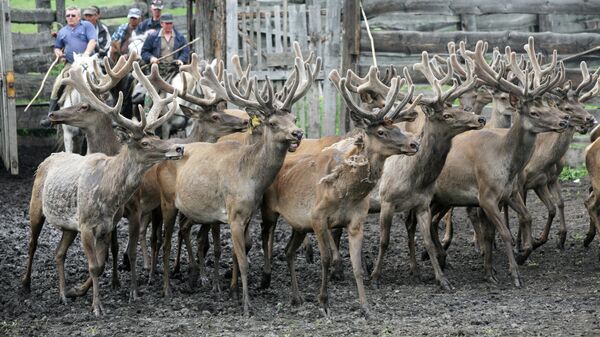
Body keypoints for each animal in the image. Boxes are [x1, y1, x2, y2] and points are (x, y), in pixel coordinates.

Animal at [25, 61, 184, 316]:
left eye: (155, 136)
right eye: (145, 142)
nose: (178, 148)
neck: (110, 194)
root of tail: (48, 157)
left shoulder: (109, 224)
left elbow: (104, 261)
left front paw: (120, 292)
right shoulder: (87, 226)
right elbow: (96, 264)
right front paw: (97, 305)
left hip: (75, 224)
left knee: (59, 253)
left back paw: (64, 294)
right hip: (36, 208)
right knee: (33, 244)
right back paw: (26, 285)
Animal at [422, 37, 568, 286]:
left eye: (545, 106)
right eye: (534, 112)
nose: (563, 121)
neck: (504, 162)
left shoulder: (508, 193)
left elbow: (514, 223)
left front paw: (496, 269)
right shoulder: (486, 195)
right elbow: (505, 233)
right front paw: (514, 273)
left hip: (442, 199)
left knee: (431, 222)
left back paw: (439, 257)